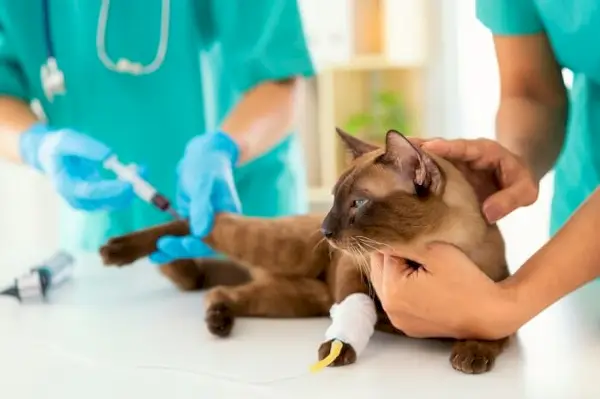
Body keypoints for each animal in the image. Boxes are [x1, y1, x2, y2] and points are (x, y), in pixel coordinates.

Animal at [99, 129, 510, 376]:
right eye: (334, 200)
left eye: (358, 203)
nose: (325, 232)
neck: (421, 255)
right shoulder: (356, 266)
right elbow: (355, 305)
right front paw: (338, 349)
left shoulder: (494, 292)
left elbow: (488, 327)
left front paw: (470, 354)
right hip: (277, 251)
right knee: (200, 221)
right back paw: (118, 250)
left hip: (293, 299)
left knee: (220, 289)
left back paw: (218, 319)